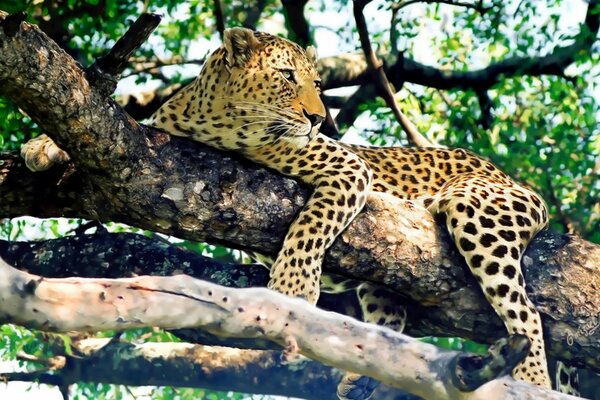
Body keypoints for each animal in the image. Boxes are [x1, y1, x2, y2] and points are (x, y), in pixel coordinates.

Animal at [21, 27, 580, 396]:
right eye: (288, 77)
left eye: (317, 83)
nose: (317, 118)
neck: (219, 121)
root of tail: (514, 179)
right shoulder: (156, 129)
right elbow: (102, 119)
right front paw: (38, 146)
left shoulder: (347, 167)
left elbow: (312, 223)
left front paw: (290, 288)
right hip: (386, 284)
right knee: (391, 318)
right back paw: (360, 378)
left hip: (478, 210)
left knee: (525, 312)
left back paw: (531, 380)